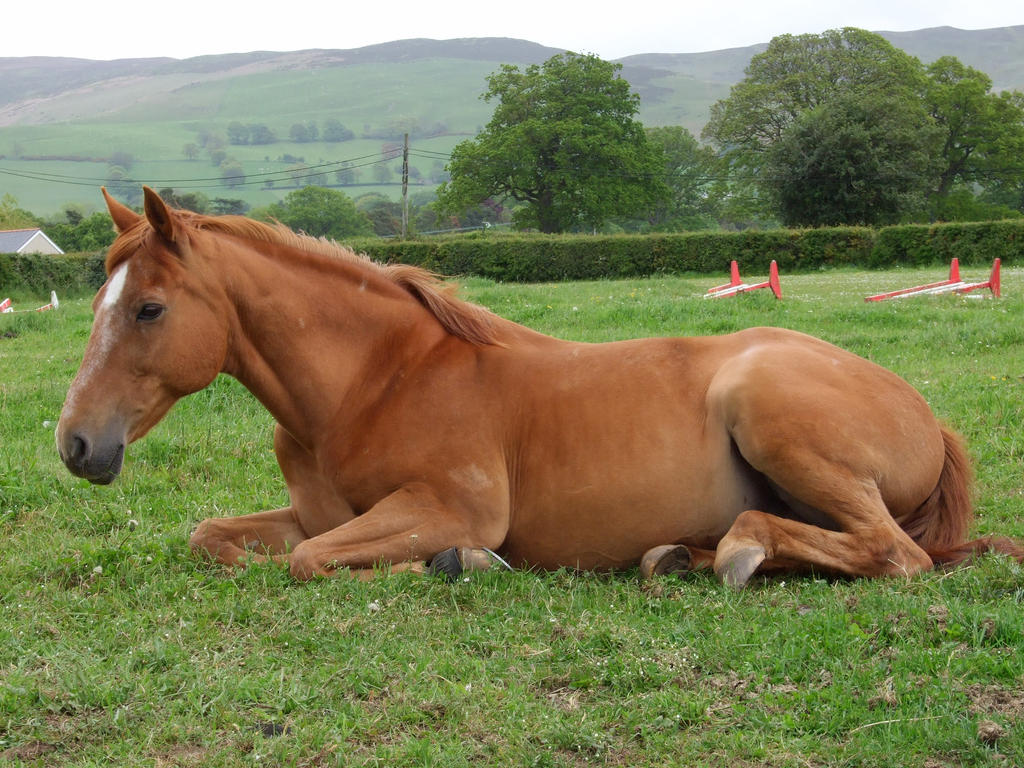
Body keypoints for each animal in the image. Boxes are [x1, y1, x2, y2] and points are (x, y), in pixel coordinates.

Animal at [54, 189, 1024, 585]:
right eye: (100, 300)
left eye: (147, 308)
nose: (76, 444)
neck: (375, 381)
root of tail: (928, 417)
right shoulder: (316, 512)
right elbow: (215, 537)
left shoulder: (449, 507)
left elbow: (311, 561)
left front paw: (457, 564)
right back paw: (684, 554)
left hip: (771, 412)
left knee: (890, 553)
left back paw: (737, 552)